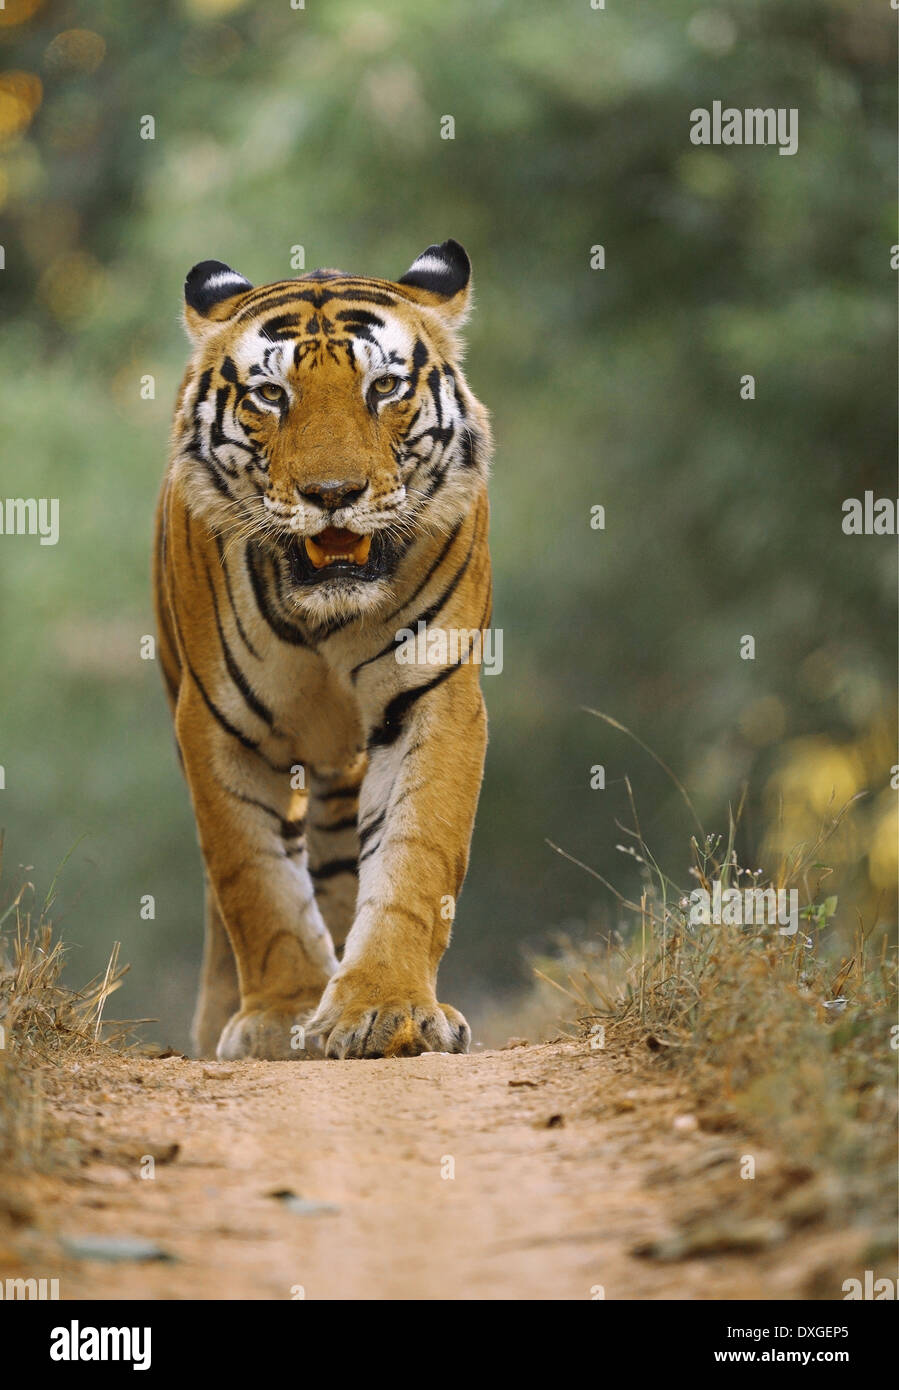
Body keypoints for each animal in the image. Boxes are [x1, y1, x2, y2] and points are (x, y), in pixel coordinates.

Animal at [152, 241, 491, 1061]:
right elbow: (255, 883)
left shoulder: (433, 700)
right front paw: (280, 1019)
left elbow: (414, 856)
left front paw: (384, 1009)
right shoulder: (217, 724)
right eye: (272, 394)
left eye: (384, 387)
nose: (333, 494)